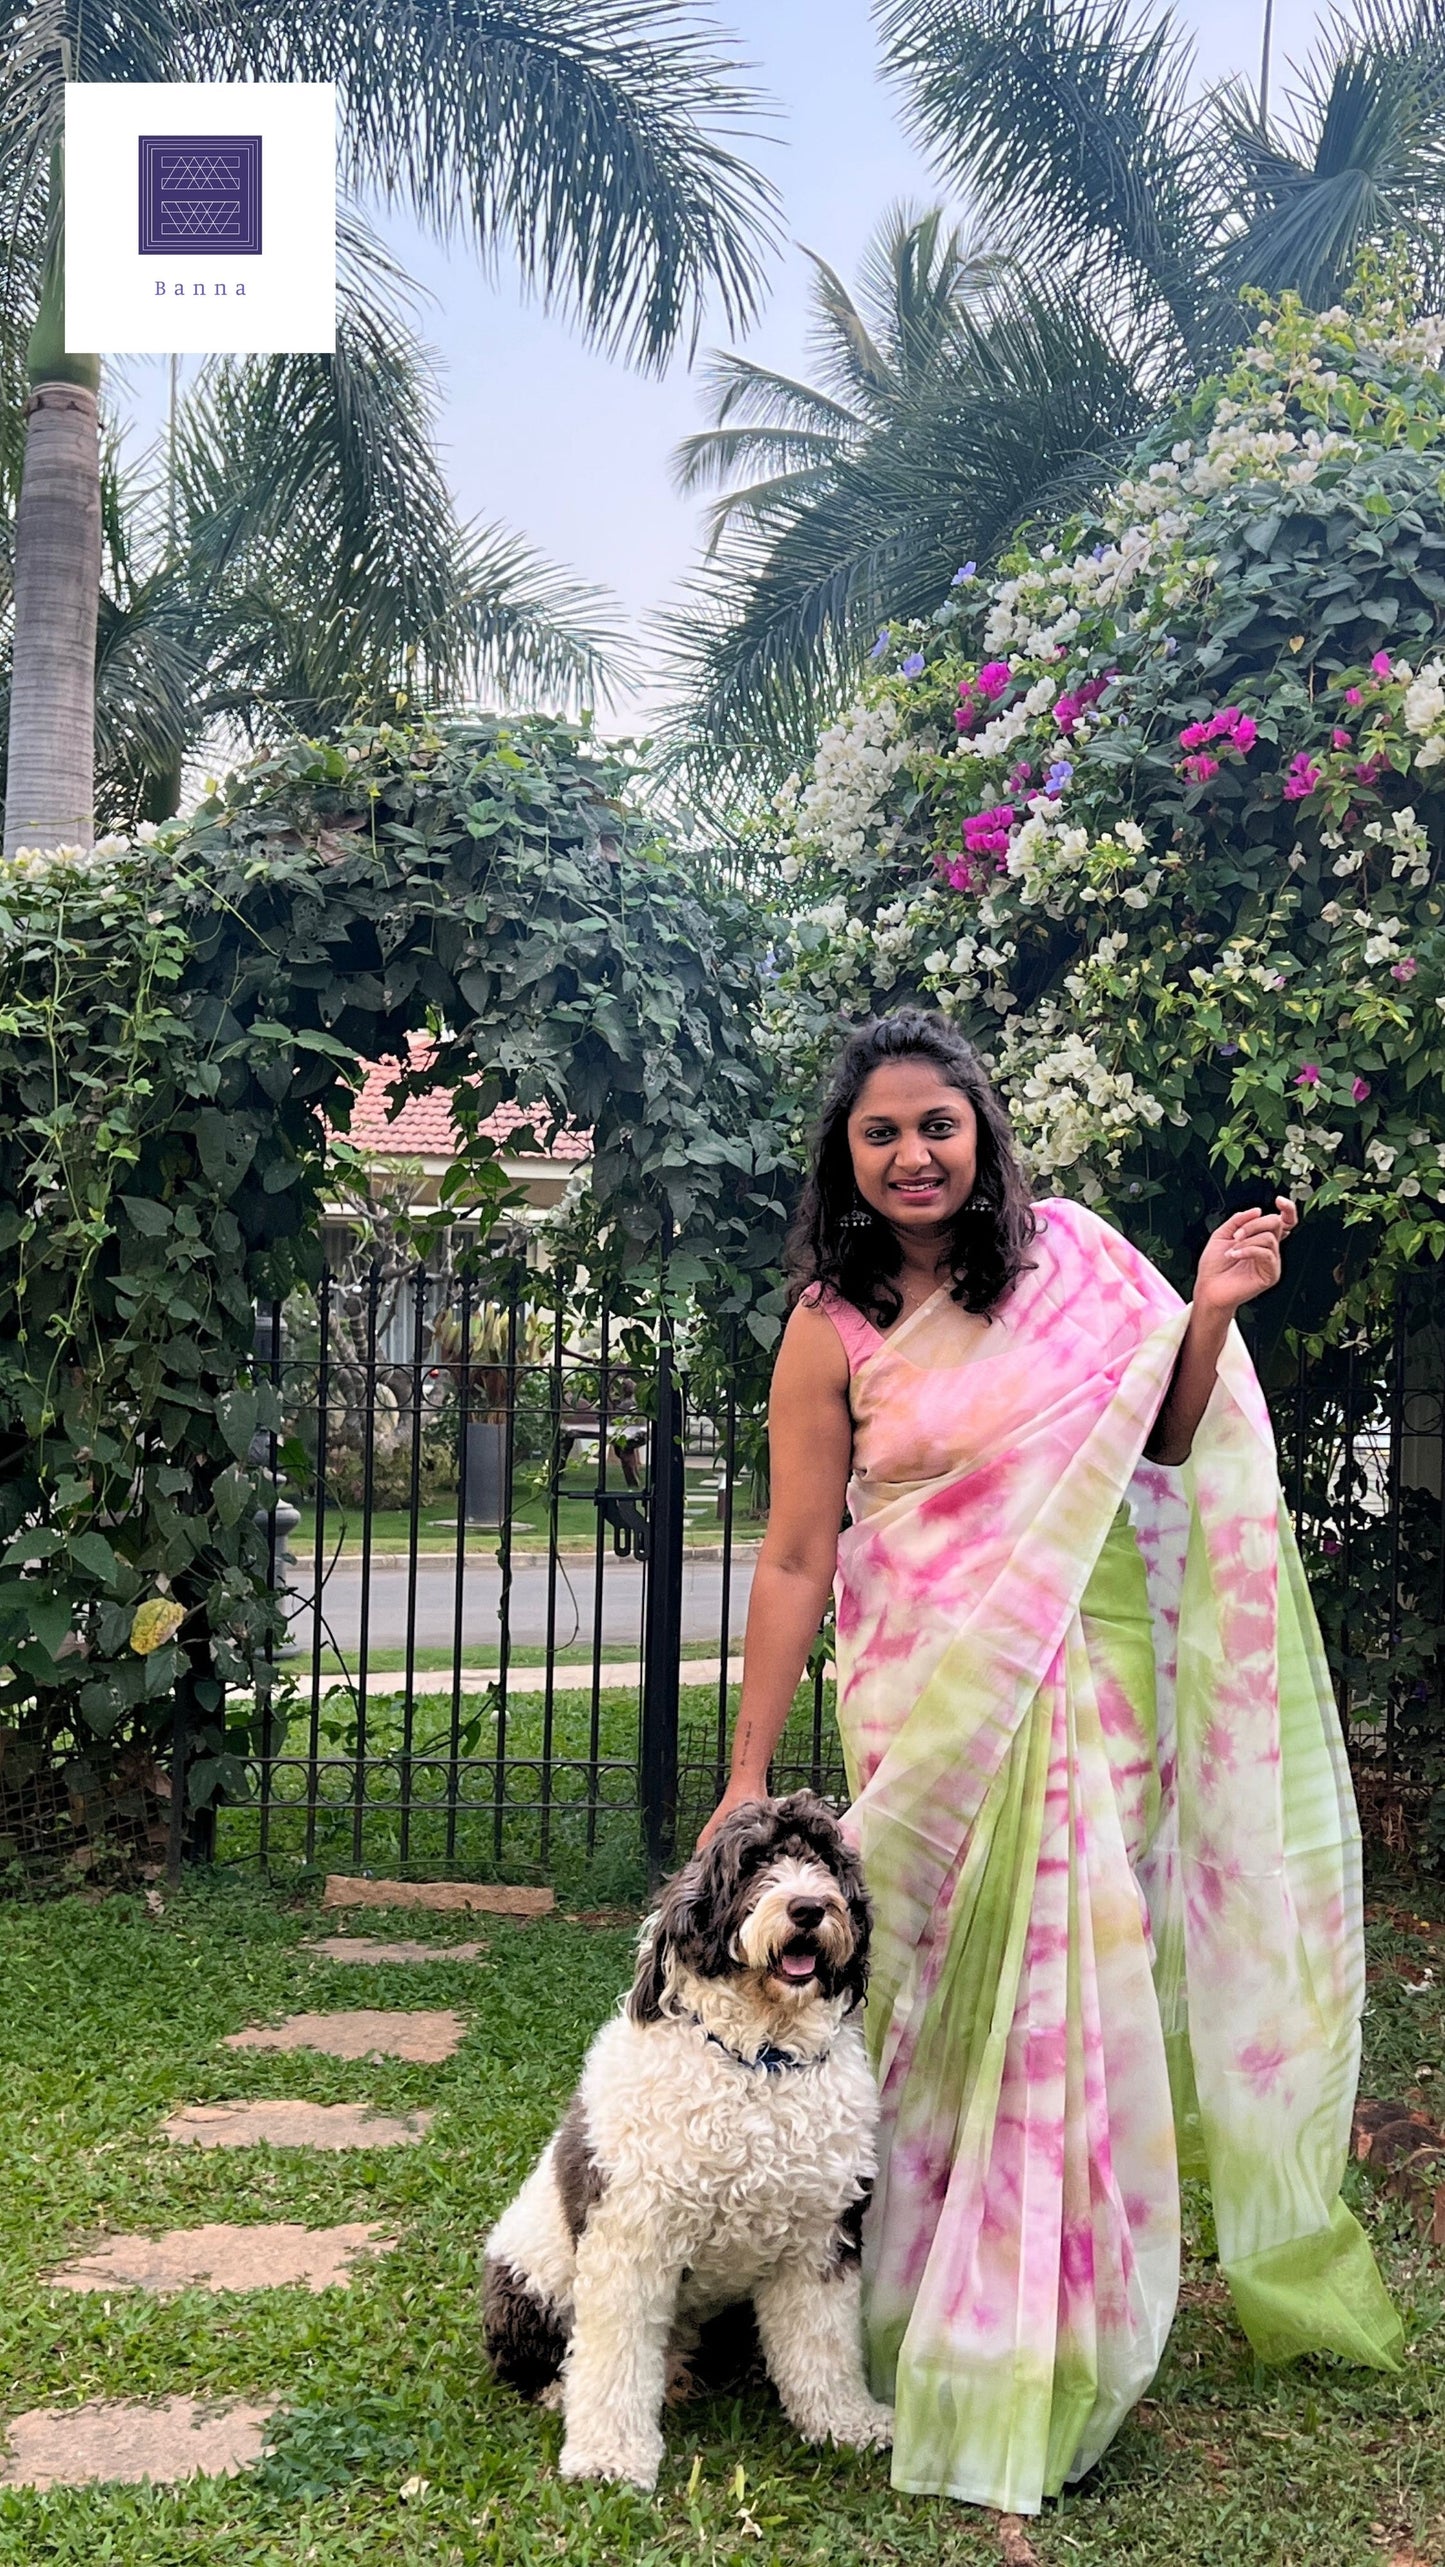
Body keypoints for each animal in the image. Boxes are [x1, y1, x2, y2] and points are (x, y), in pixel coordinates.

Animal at [485, 1786, 893, 2484]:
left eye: (822, 1860)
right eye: (754, 1864)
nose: (809, 1907)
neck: (761, 2061)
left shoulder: (822, 2237)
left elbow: (824, 2345)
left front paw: (846, 2424)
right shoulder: (630, 2239)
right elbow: (615, 2359)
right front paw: (610, 2458)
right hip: (526, 2277)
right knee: (541, 2359)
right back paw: (564, 2389)